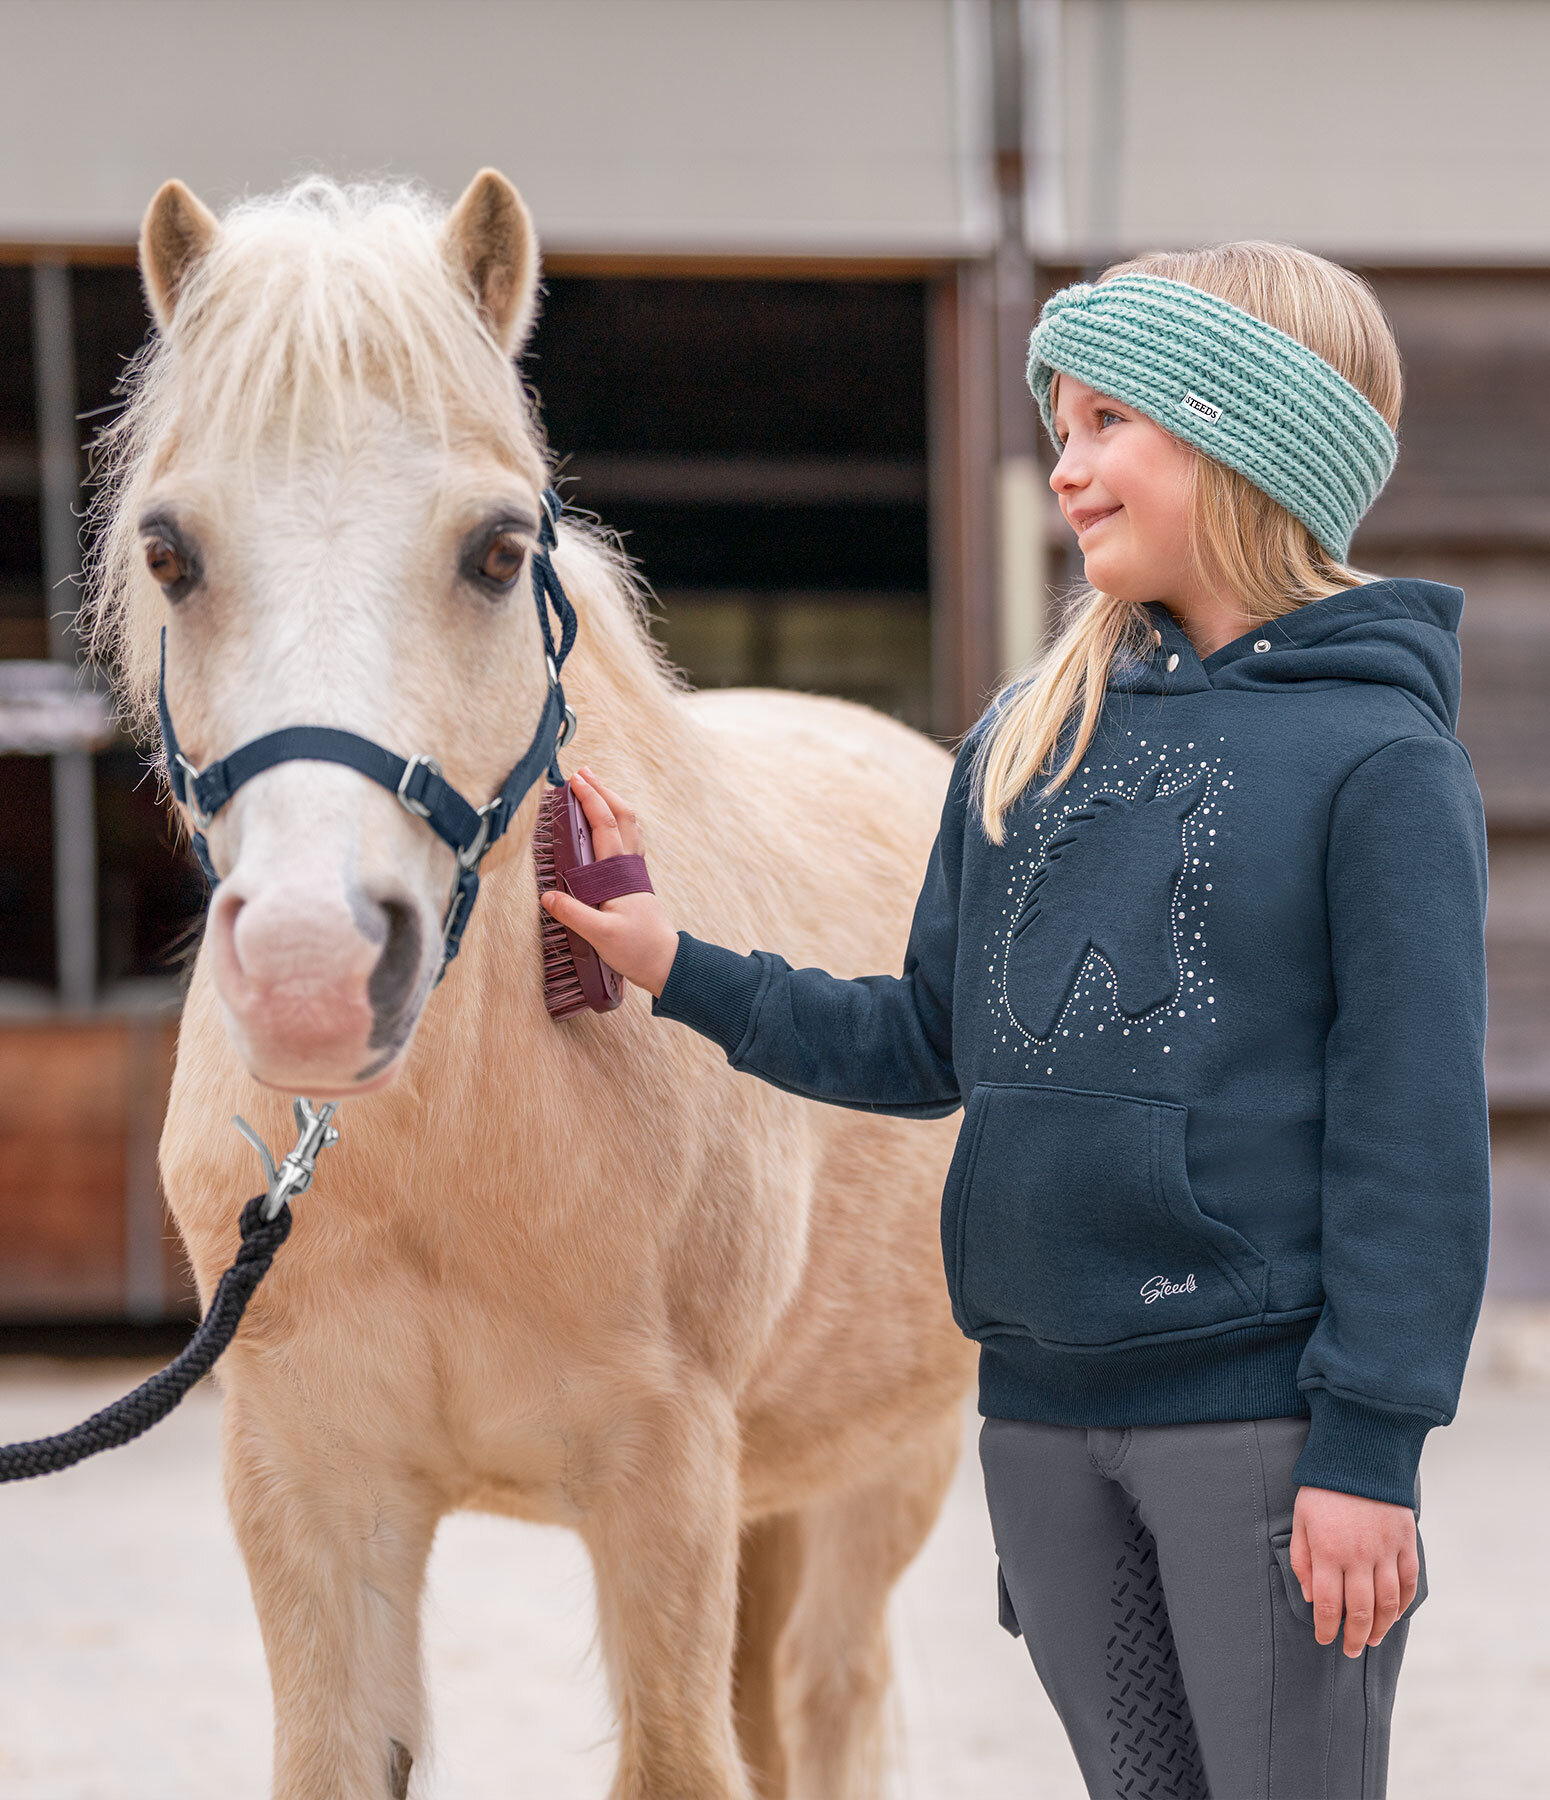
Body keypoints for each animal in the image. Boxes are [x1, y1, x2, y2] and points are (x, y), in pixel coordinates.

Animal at [84, 171, 964, 1800]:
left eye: (497, 551)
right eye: (170, 552)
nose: (313, 968)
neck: (454, 1150)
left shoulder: (664, 1481)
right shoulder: (311, 1484)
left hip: (888, 1470)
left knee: (829, 1696)